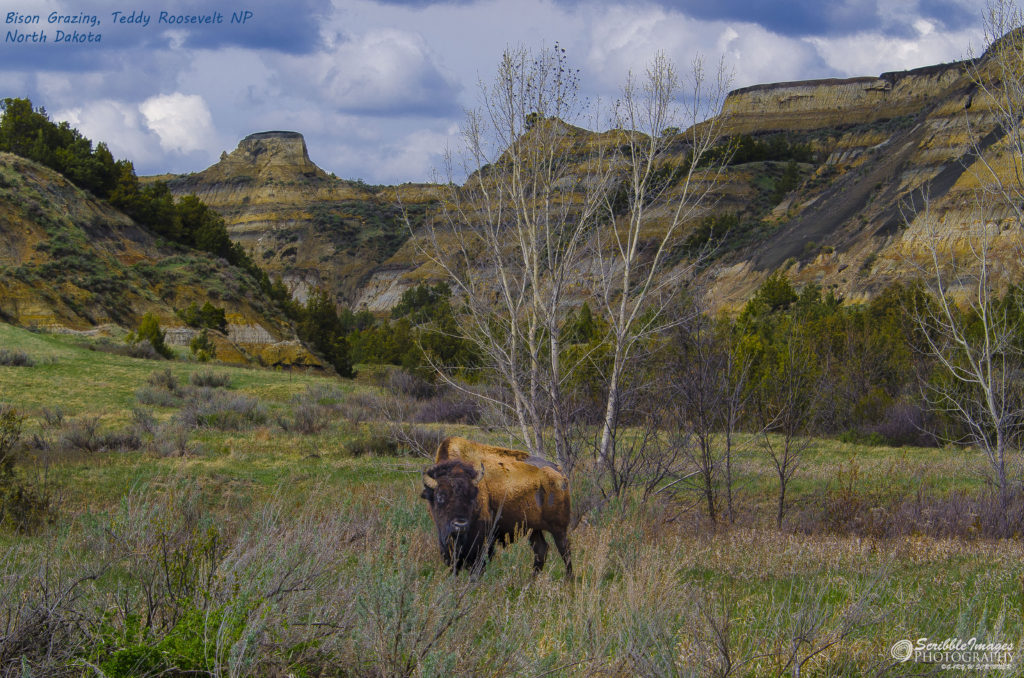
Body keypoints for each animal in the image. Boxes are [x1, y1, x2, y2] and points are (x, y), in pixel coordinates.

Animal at [419, 436, 573, 577]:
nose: (460, 525)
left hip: (559, 528)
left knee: (565, 551)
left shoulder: (482, 540)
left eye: (472, 496)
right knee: (541, 550)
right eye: (440, 497)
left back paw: (568, 581)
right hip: (533, 529)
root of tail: (559, 471)